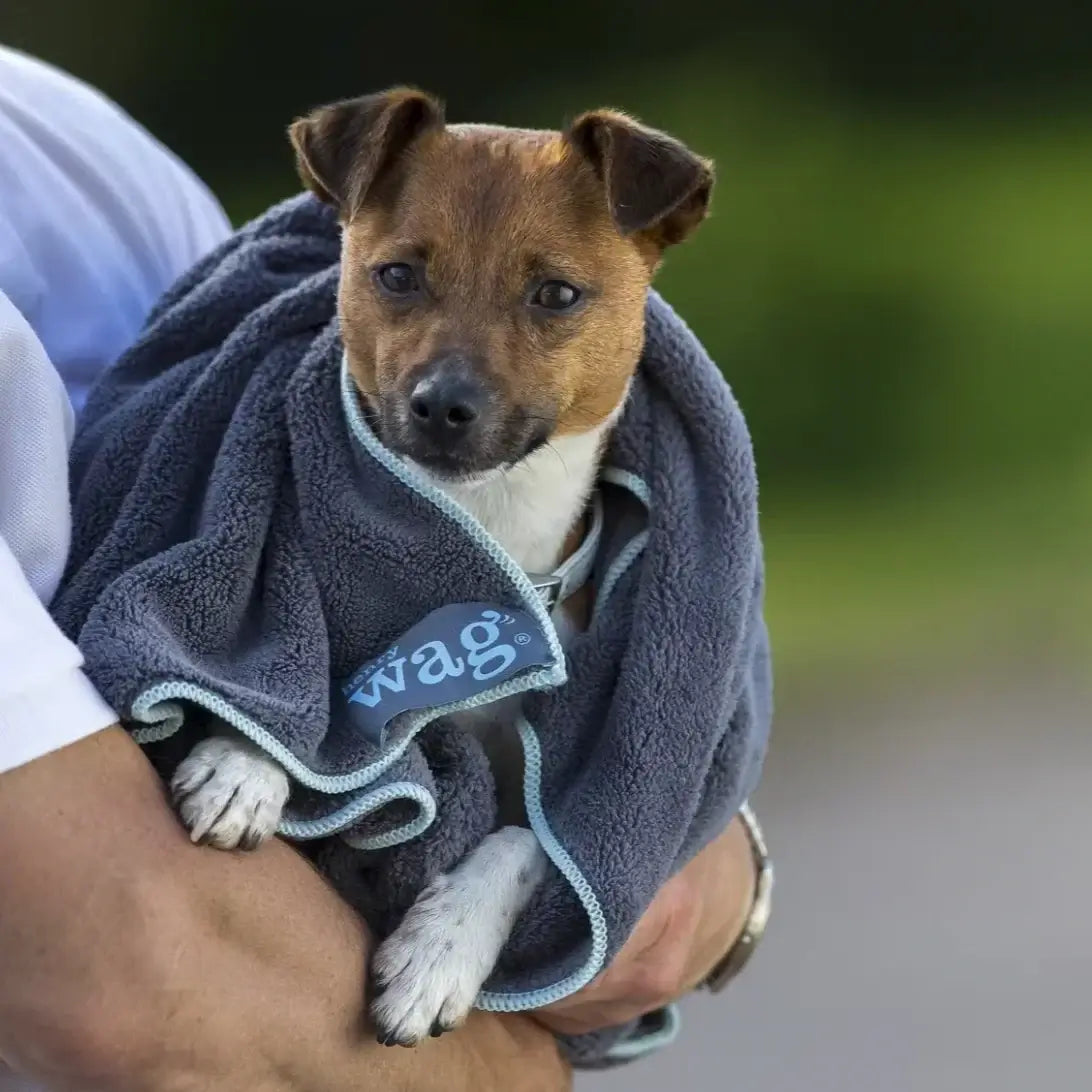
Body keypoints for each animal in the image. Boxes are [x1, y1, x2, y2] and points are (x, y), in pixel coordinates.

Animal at [168, 89, 716, 1043]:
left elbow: (526, 841)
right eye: (396, 276)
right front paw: (244, 761)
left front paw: (439, 953)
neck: (487, 540)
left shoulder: (568, 781)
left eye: (556, 293)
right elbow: (304, 684)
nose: (441, 406)